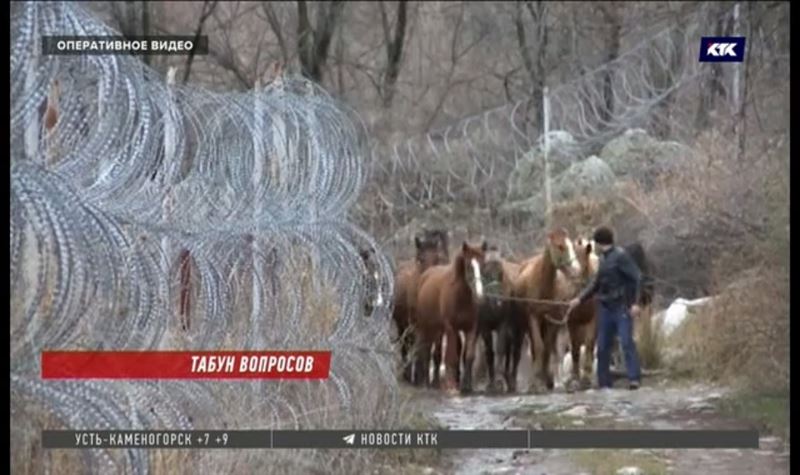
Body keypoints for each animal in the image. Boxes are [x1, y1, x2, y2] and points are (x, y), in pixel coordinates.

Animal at [392, 231, 450, 384]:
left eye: (438, 259)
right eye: (420, 259)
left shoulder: (441, 329)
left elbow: (436, 353)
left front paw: (434, 381)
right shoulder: (418, 325)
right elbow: (422, 351)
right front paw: (421, 378)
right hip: (403, 325)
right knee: (406, 345)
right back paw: (409, 375)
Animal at [412, 242, 488, 394]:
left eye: (483, 265)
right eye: (469, 266)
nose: (480, 294)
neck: (461, 296)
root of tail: (426, 275)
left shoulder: (471, 328)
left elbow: (468, 356)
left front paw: (466, 386)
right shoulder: (451, 328)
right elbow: (451, 357)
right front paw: (452, 385)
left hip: (437, 330)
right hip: (425, 327)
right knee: (425, 350)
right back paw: (425, 382)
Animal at [512, 228, 580, 394]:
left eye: (571, 244)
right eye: (560, 246)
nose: (576, 270)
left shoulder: (552, 319)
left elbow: (548, 347)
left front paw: (546, 380)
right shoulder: (533, 317)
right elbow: (539, 347)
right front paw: (538, 383)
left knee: (554, 348)